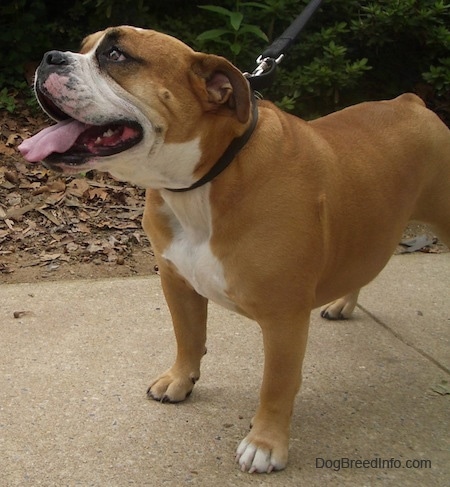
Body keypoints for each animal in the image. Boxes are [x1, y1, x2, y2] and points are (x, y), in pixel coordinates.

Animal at [18, 25, 450, 472]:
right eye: (83, 47)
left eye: (116, 54)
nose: (50, 57)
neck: (205, 180)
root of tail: (411, 101)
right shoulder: (176, 281)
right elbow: (188, 337)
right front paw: (180, 380)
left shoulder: (284, 319)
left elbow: (277, 383)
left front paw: (265, 443)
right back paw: (343, 303)